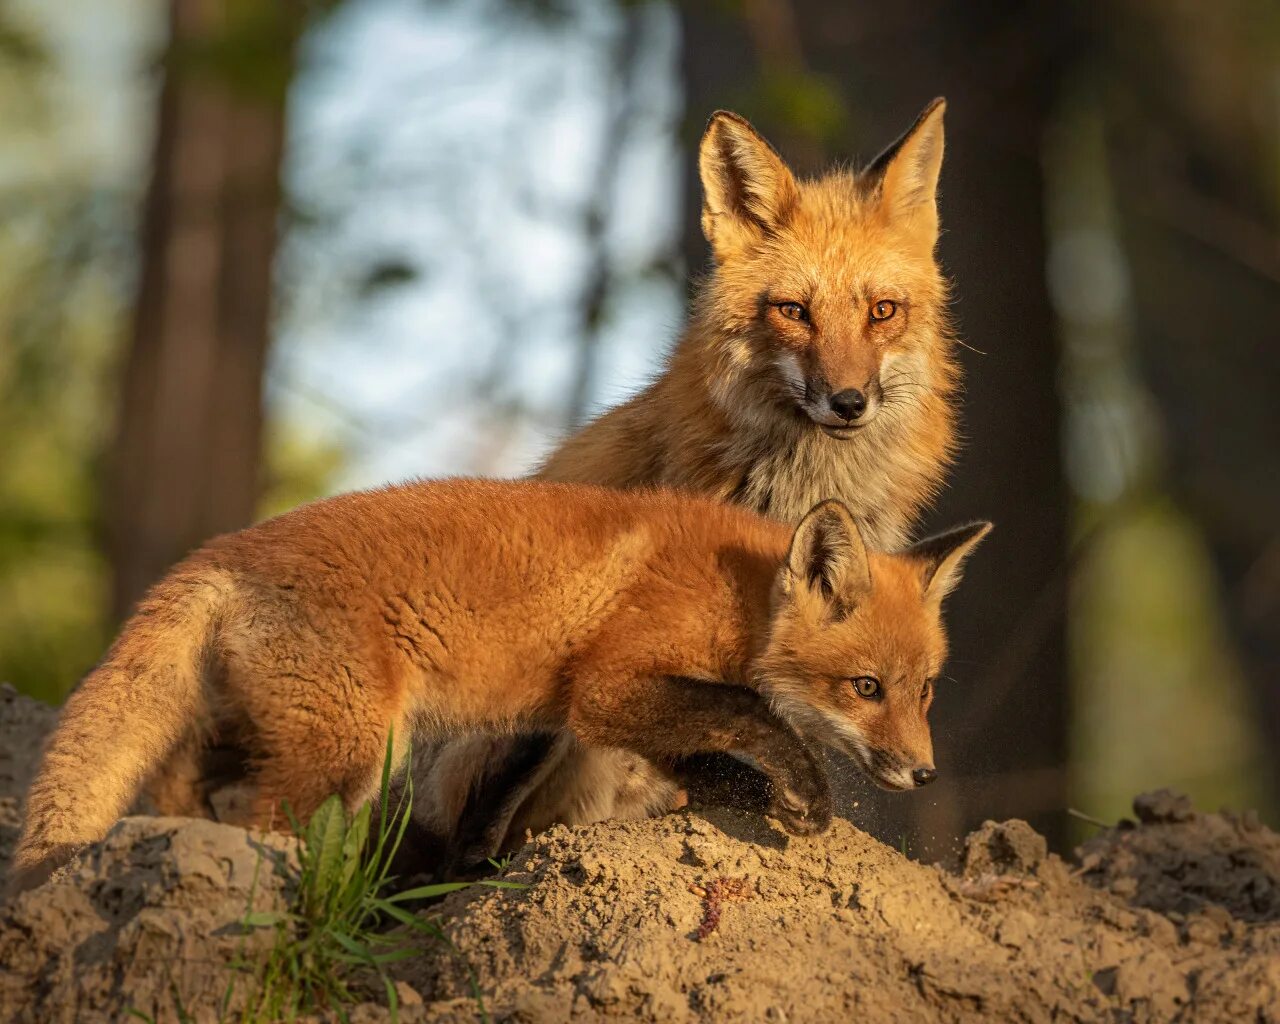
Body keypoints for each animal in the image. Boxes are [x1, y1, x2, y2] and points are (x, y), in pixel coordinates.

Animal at [7, 478, 988, 885]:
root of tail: (217, 552)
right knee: (254, 819)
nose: (924, 772)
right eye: (866, 688)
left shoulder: (576, 715)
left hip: (277, 730)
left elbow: (692, 759)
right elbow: (748, 711)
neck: (737, 593)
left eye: (926, 691)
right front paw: (805, 792)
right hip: (351, 755)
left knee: (180, 786)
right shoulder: (609, 688)